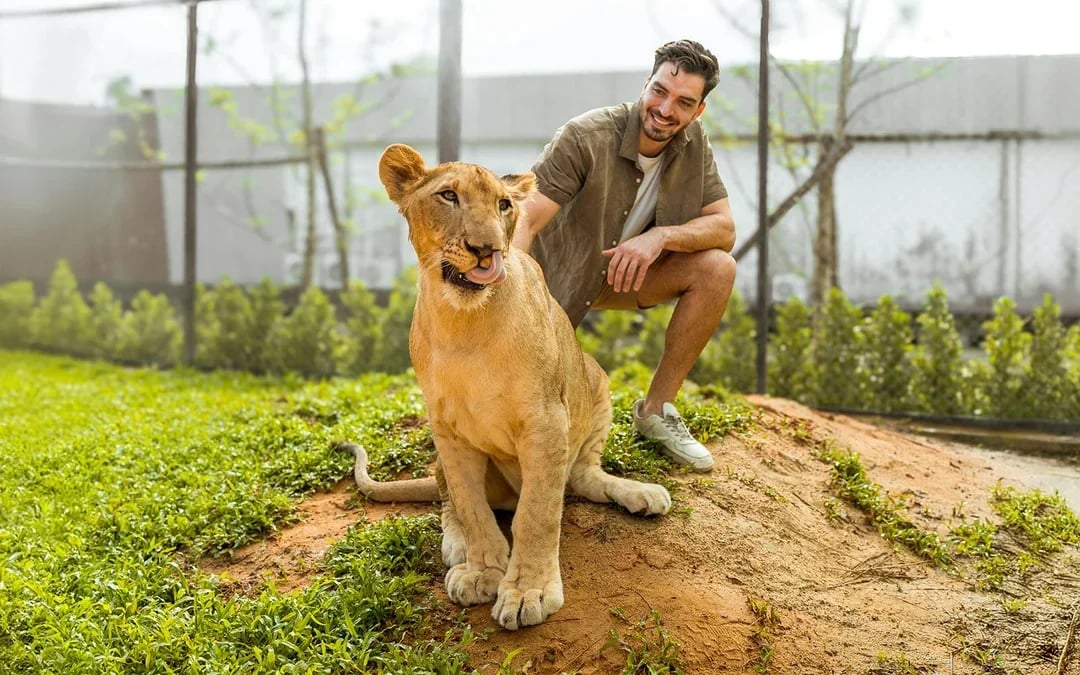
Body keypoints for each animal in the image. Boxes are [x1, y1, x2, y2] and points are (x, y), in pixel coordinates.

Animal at [343, 144, 672, 631]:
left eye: (503, 205)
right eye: (448, 196)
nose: (487, 249)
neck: (463, 322)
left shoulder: (546, 421)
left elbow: (536, 515)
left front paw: (526, 592)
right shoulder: (448, 431)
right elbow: (471, 507)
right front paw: (482, 570)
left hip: (594, 379)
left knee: (582, 477)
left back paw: (642, 494)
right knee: (446, 494)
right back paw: (457, 545)